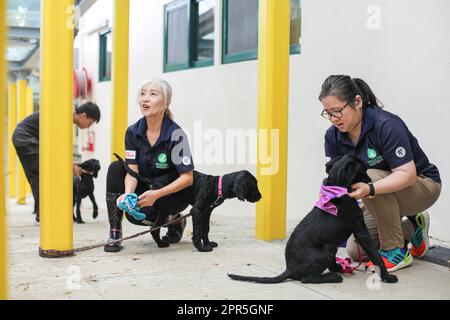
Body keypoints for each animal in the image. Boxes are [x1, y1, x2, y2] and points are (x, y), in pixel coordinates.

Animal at [114, 153, 262, 252]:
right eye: (253, 185)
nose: (260, 197)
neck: (217, 186)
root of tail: (154, 181)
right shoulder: (196, 211)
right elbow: (197, 231)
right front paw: (201, 247)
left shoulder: (206, 212)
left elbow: (205, 229)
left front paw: (208, 244)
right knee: (153, 224)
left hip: (166, 208)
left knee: (154, 228)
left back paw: (161, 244)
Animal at [229, 155, 398, 284]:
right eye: (362, 171)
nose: (370, 180)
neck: (338, 190)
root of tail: (289, 269)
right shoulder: (360, 230)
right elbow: (375, 255)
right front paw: (387, 277)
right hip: (324, 253)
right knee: (307, 279)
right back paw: (333, 277)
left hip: (331, 246)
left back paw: (338, 269)